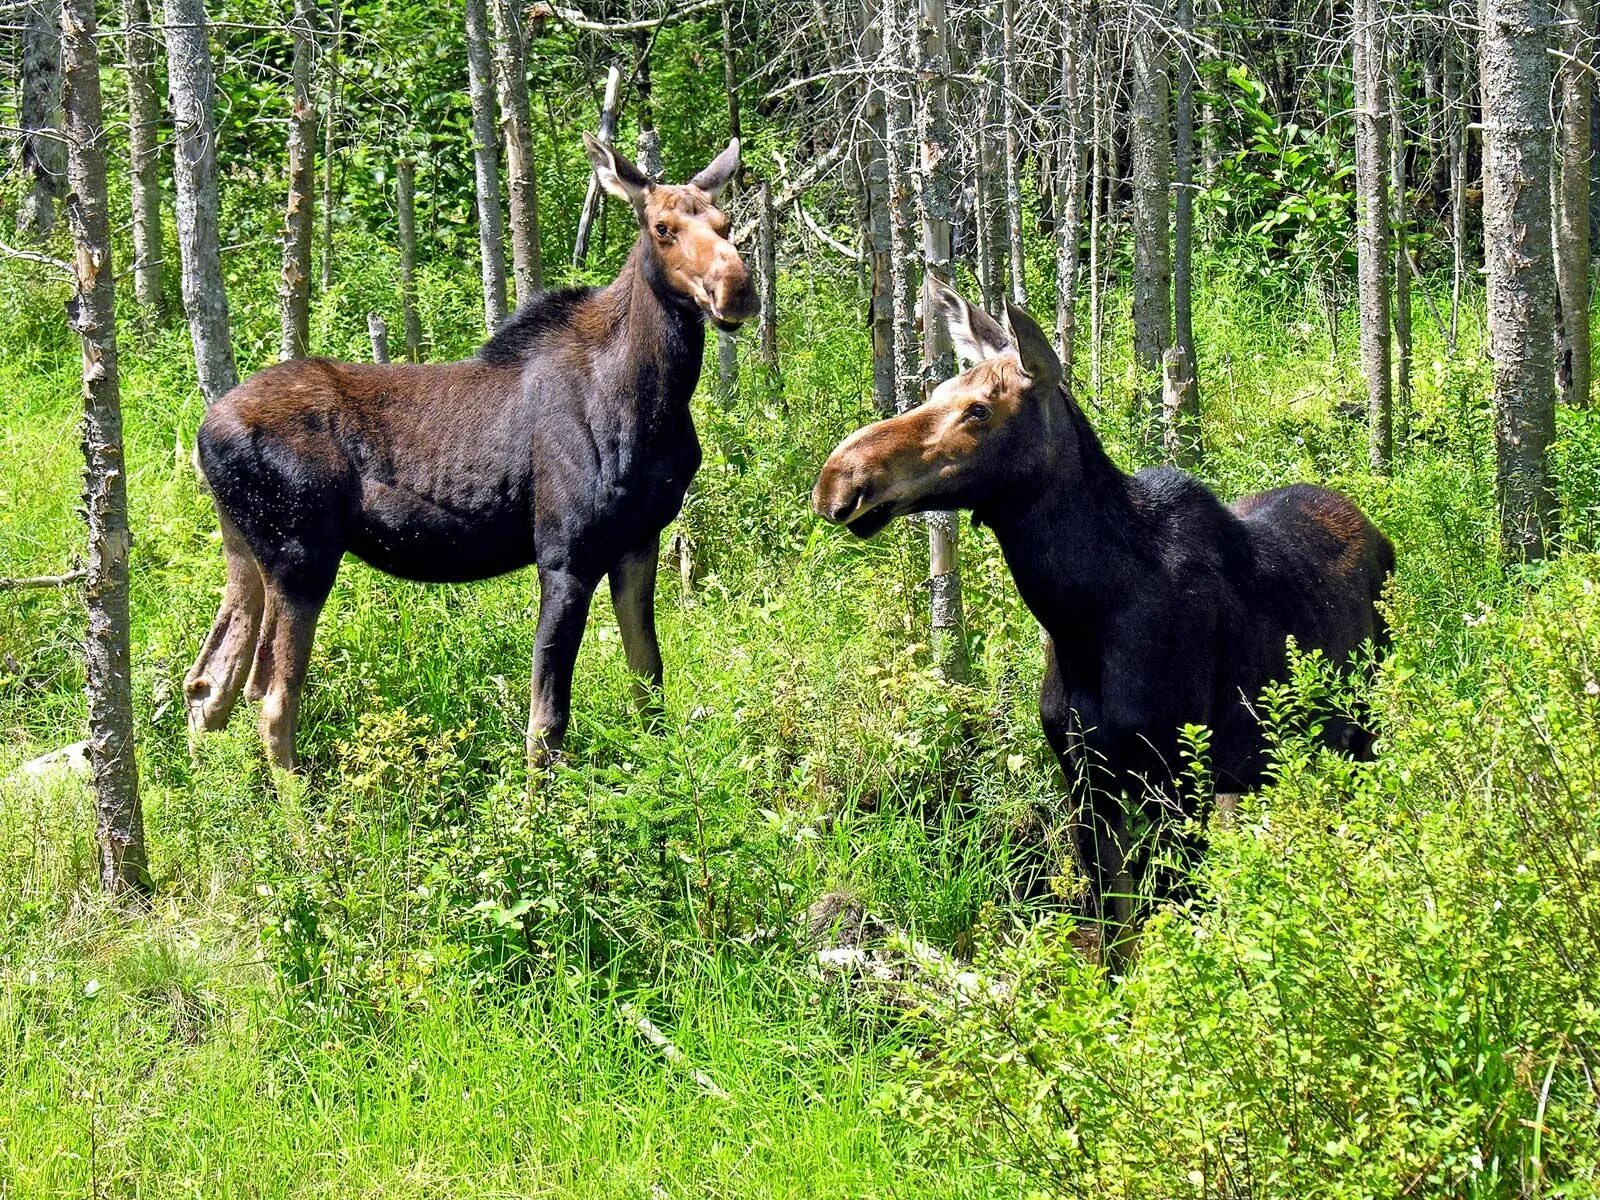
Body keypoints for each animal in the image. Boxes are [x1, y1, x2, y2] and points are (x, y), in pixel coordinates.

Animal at [184, 133, 758, 771]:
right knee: (271, 696)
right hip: (301, 554)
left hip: (246, 548)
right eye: (662, 227)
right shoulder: (565, 551)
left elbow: (648, 680)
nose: (737, 287)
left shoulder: (640, 539)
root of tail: (203, 436)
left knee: (209, 680)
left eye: (725, 223)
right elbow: (546, 723)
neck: (651, 404)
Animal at [812, 286, 1388, 953]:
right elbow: (1116, 934)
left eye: (979, 410)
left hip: (1364, 728)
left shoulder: (1178, 783)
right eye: (936, 393)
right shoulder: (1085, 782)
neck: (1083, 618)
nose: (838, 478)